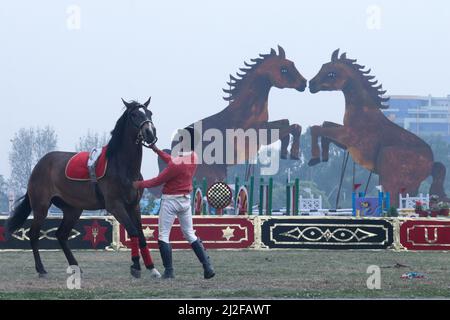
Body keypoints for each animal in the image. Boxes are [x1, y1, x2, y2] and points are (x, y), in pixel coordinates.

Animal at [6, 99, 160, 278]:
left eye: (149, 113)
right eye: (134, 114)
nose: (150, 133)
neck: (123, 167)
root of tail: (40, 164)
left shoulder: (134, 205)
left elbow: (141, 235)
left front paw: (152, 268)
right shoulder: (115, 206)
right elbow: (133, 231)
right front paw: (135, 266)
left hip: (72, 209)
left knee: (61, 235)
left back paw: (75, 267)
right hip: (41, 206)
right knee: (34, 234)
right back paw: (41, 269)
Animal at [163, 47, 308, 188]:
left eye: (292, 64)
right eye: (284, 69)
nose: (304, 83)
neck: (248, 110)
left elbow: (287, 123)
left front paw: (286, 152)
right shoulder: (259, 134)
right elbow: (292, 126)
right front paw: (293, 152)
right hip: (209, 174)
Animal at [308, 48, 448, 206]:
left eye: (331, 73)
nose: (311, 85)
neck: (363, 111)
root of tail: (431, 164)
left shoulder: (349, 137)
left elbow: (317, 128)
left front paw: (314, 159)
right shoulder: (344, 141)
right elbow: (324, 125)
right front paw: (322, 157)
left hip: (390, 172)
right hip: (408, 185)